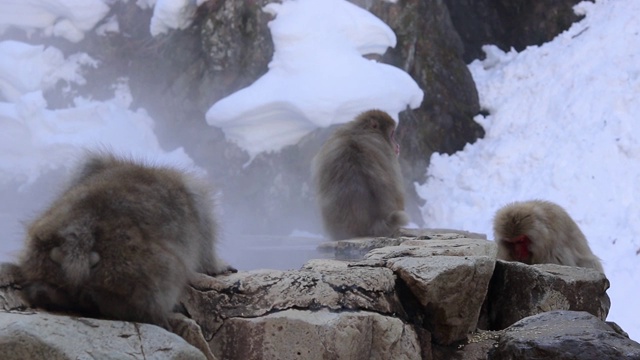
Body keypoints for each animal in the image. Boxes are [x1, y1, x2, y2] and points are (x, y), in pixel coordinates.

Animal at [18, 152, 235, 330]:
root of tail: (80, 236)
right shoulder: (199, 207)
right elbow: (206, 251)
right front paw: (218, 266)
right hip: (143, 275)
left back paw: (47, 293)